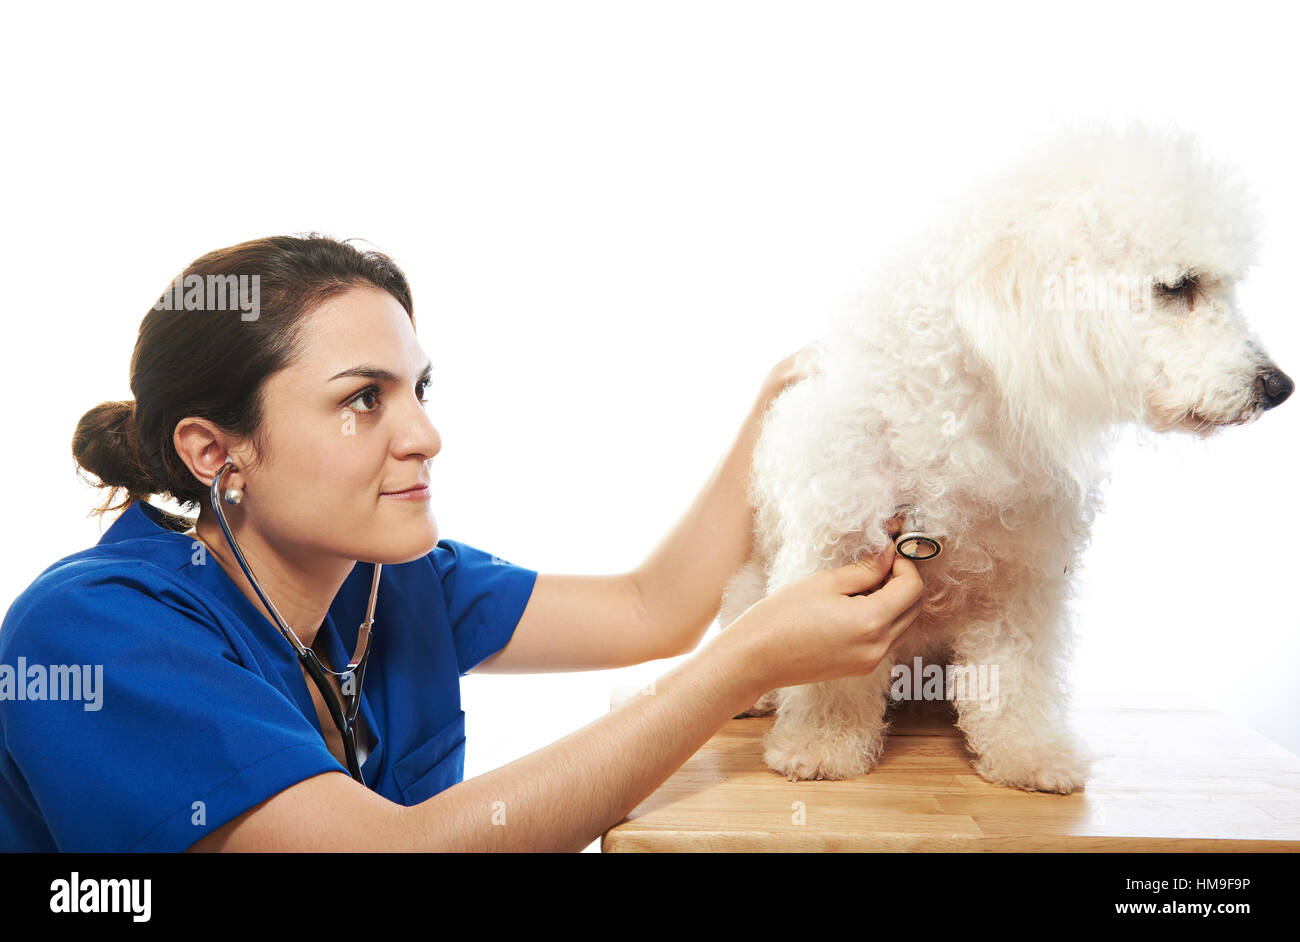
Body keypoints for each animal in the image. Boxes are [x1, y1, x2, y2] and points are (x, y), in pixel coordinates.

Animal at [722, 119, 1289, 795]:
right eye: (1179, 287)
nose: (1278, 386)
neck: (961, 419)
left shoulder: (1021, 581)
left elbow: (1015, 678)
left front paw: (1028, 754)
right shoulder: (833, 553)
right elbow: (830, 680)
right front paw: (820, 746)